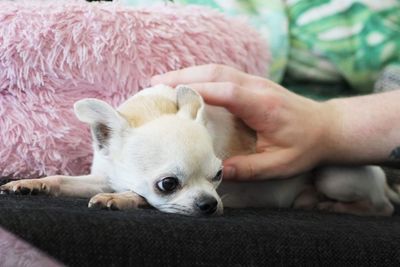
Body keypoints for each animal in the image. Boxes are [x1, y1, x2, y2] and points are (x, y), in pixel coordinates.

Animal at [1, 86, 398, 218]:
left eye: (219, 175)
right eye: (168, 183)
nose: (210, 204)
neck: (153, 108)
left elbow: (138, 197)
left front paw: (121, 200)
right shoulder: (103, 176)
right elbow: (65, 179)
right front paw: (30, 184)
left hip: (336, 176)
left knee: (382, 208)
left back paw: (339, 207)